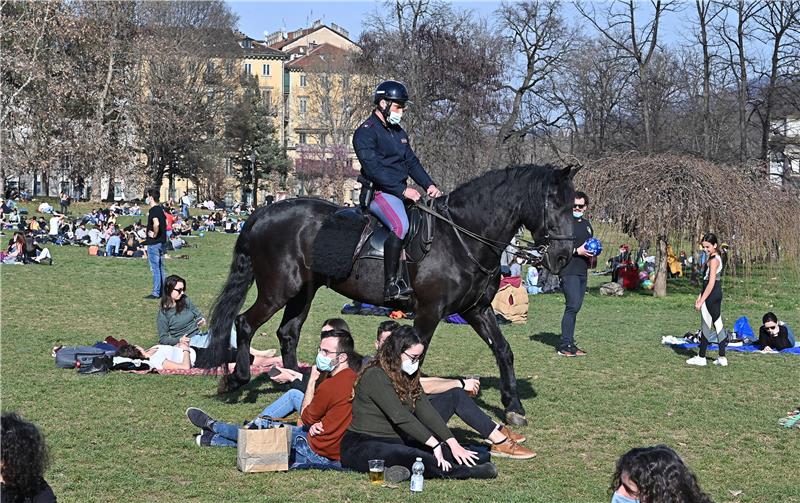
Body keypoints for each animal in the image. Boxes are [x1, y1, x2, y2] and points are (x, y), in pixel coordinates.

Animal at [200, 165, 576, 426]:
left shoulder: (477, 310)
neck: (461, 238)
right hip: (279, 289)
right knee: (245, 323)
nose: (563, 257)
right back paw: (236, 379)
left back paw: (305, 383)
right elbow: (415, 360)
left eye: (574, 204)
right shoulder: (429, 312)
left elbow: (504, 351)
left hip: (304, 291)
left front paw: (513, 406)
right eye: (554, 201)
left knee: (288, 332)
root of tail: (262, 213)